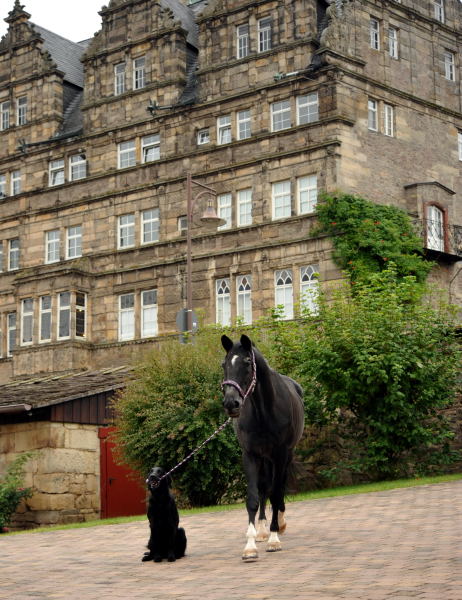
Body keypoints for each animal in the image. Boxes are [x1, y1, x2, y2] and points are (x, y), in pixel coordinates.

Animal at [222, 336, 304, 560]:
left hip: (284, 457)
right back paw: (261, 530)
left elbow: (276, 494)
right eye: (224, 365)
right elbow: (253, 497)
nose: (231, 403)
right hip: (264, 459)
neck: (264, 411)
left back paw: (280, 524)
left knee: (278, 488)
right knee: (264, 488)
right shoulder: (250, 455)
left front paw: (274, 539)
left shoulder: (280, 454)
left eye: (247, 363)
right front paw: (250, 545)